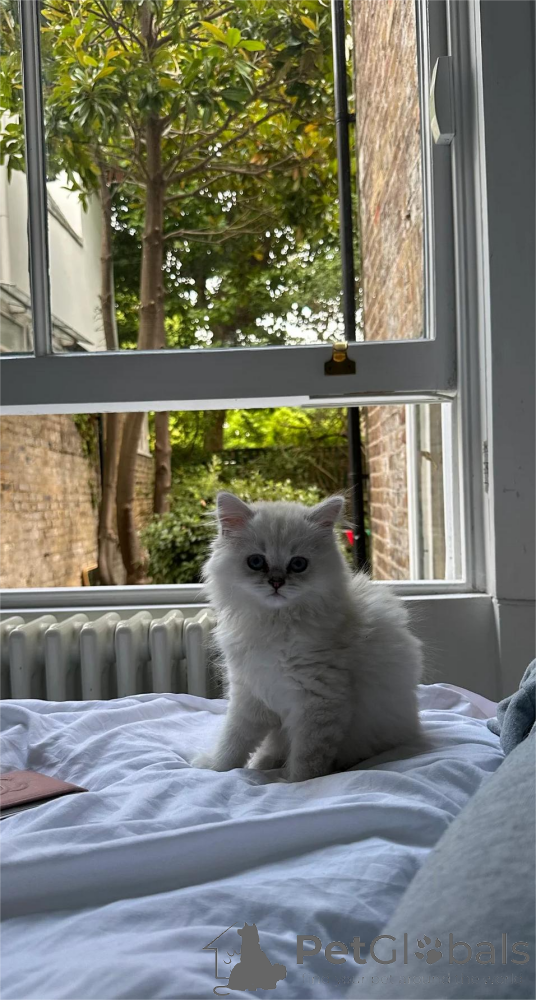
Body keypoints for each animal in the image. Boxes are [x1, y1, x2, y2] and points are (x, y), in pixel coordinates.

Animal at [192, 491, 424, 782]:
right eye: (256, 562)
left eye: (298, 564)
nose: (276, 582)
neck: (275, 625)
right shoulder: (250, 692)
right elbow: (233, 740)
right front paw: (215, 768)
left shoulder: (318, 702)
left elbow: (307, 759)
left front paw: (291, 782)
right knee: (269, 749)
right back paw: (263, 763)